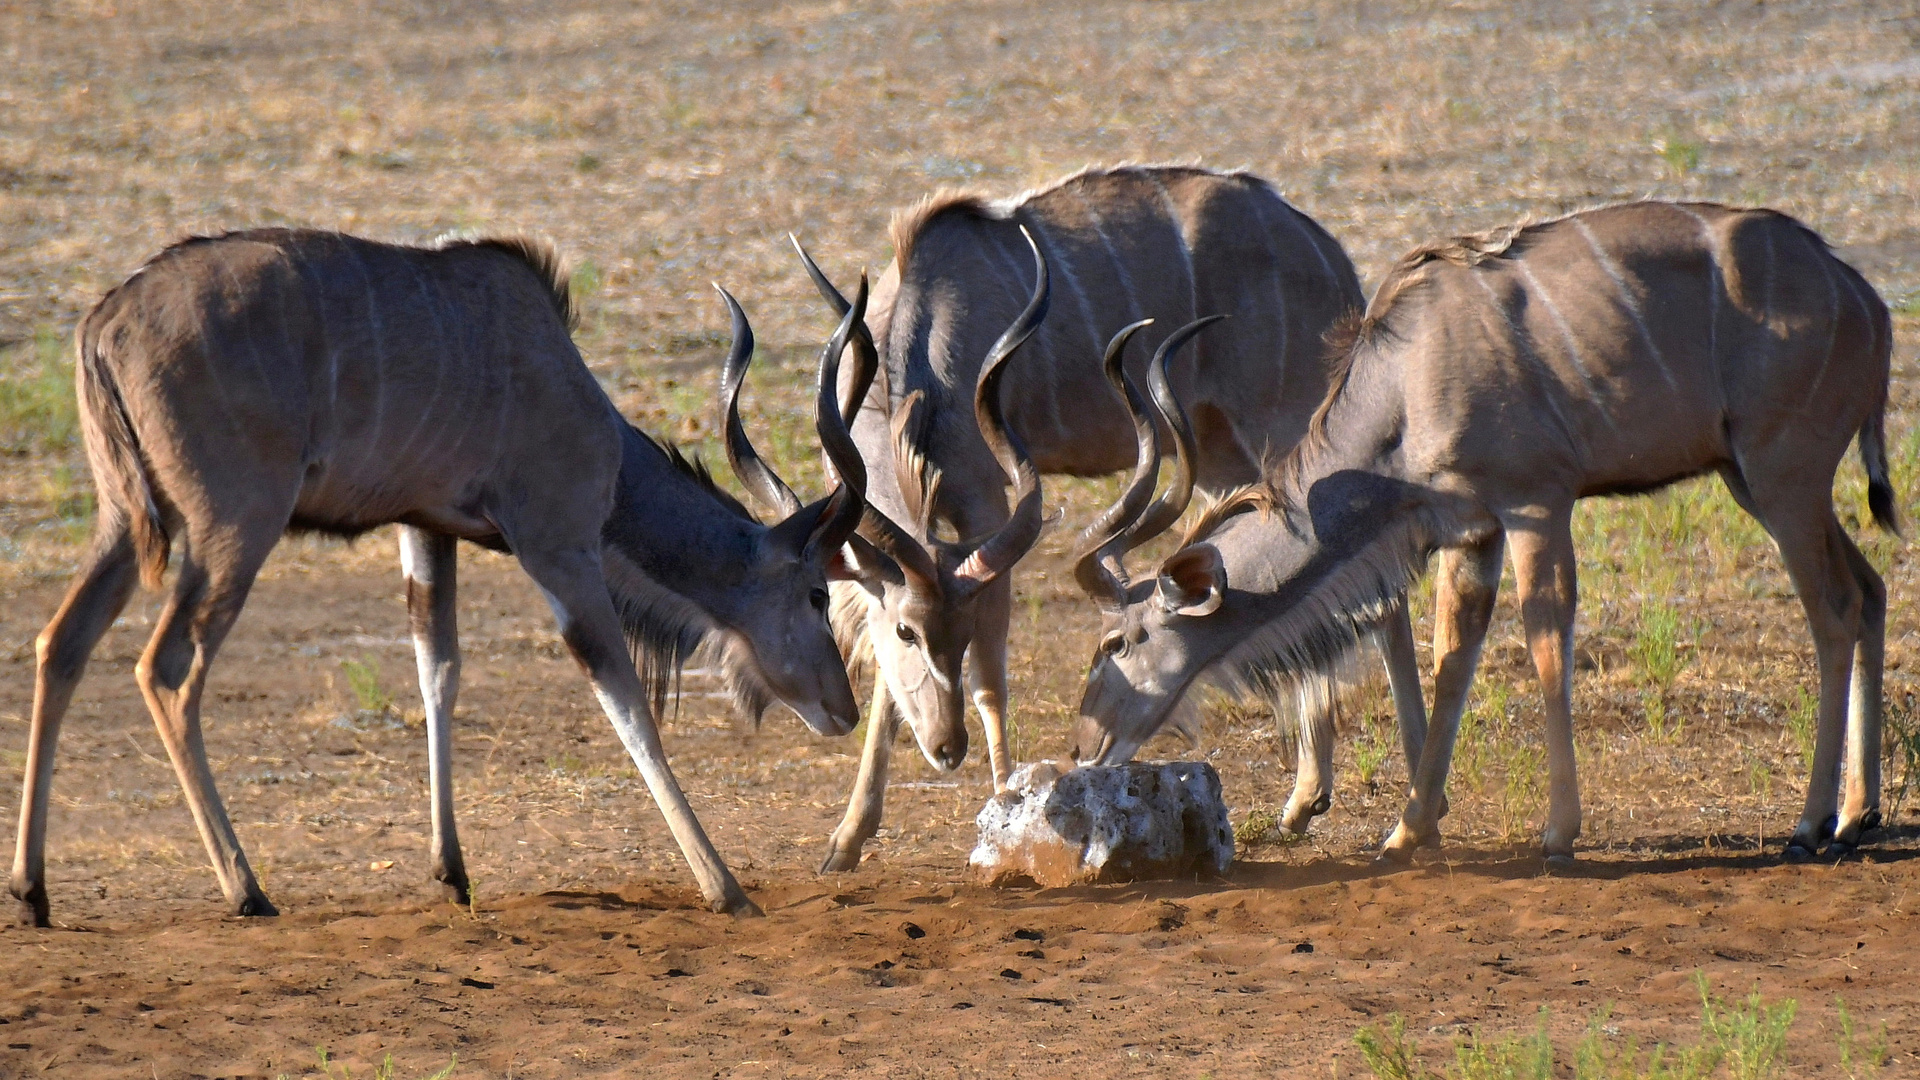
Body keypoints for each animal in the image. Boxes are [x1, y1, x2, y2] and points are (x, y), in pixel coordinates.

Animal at [11, 226, 871, 914]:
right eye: (817, 593)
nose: (845, 710)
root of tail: (105, 323)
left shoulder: (427, 530)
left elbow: (439, 670)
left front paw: (450, 872)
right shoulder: (557, 543)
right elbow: (626, 703)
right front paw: (725, 887)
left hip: (123, 524)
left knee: (61, 643)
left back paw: (32, 889)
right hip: (235, 530)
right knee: (164, 669)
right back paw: (245, 889)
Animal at [791, 164, 1428, 864]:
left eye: (957, 637)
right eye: (909, 632)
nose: (948, 749)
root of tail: (1330, 254)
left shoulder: (988, 505)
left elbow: (991, 679)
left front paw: (1005, 808)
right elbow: (887, 677)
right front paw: (847, 838)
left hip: (1296, 432)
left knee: (1379, 587)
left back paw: (1387, 805)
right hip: (1222, 455)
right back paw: (1304, 803)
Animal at [1075, 199, 1896, 857]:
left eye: (1118, 642)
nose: (1087, 746)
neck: (1405, 382)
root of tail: (1866, 299)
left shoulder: (1535, 504)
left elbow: (1543, 641)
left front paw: (1558, 829)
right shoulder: (1473, 532)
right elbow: (1452, 655)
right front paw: (1407, 831)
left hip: (1784, 475)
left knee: (1833, 608)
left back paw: (1810, 823)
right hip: (1753, 480)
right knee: (1870, 587)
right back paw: (1858, 814)